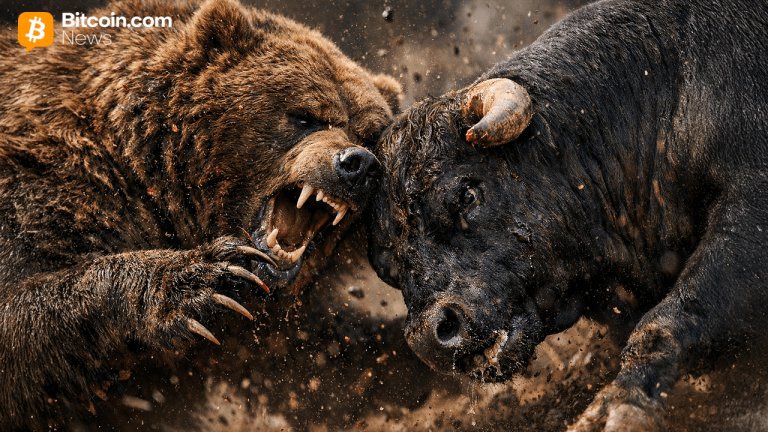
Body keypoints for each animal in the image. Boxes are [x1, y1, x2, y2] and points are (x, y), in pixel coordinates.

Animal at [0, 0, 400, 429]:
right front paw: (205, 278)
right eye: (305, 115)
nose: (358, 164)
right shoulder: (45, 184)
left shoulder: (265, 338)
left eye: (369, 133)